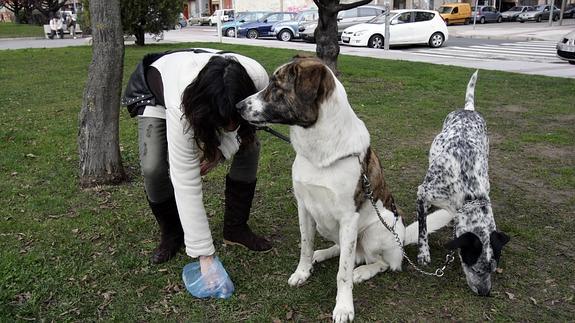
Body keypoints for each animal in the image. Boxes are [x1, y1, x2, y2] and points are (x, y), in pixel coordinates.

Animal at [236, 57, 452, 322]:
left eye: (276, 86)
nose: (237, 106)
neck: (319, 151)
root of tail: (401, 240)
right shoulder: (304, 208)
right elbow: (305, 246)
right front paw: (303, 271)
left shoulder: (349, 219)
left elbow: (343, 273)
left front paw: (344, 307)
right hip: (325, 225)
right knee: (343, 249)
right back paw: (323, 253)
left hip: (374, 232)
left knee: (384, 263)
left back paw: (364, 271)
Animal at [416, 71, 510, 298]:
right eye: (475, 269)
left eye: (493, 269)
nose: (485, 292)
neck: (468, 191)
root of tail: (469, 109)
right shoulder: (424, 192)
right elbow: (422, 229)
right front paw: (423, 253)